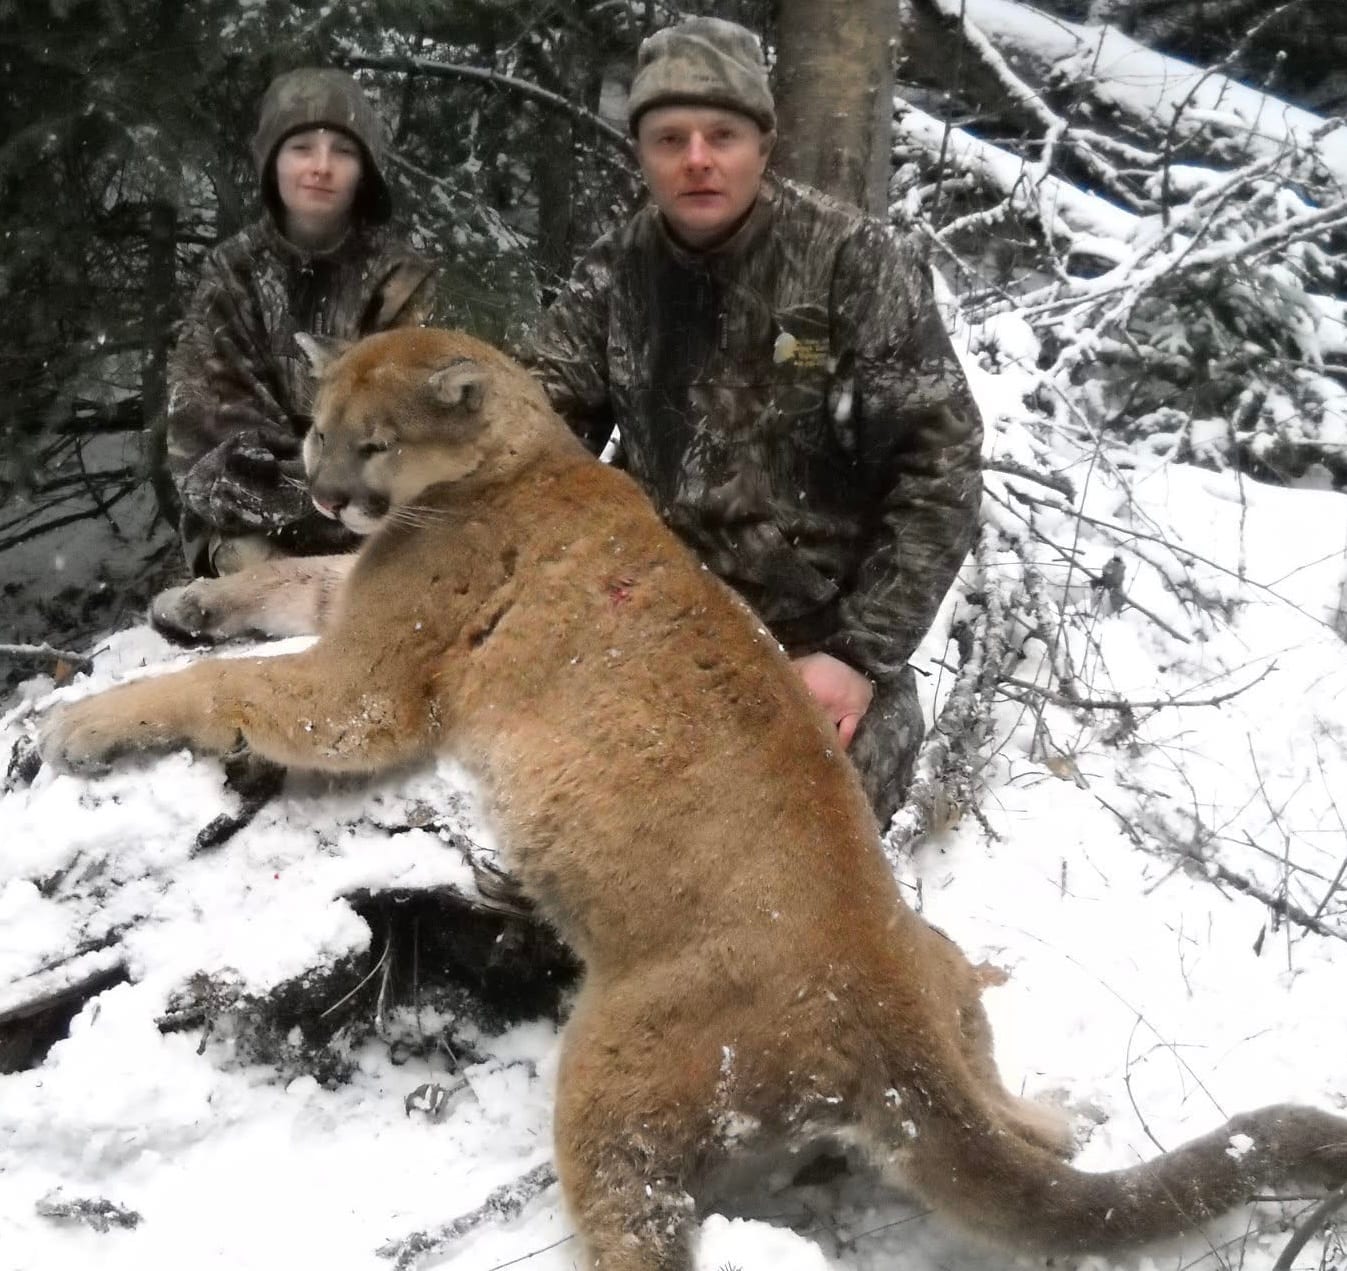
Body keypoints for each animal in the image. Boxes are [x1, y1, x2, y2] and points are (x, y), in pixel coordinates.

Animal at [40, 327, 1347, 1270]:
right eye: (316, 426)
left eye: (372, 440)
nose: (317, 480)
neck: (521, 457)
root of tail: (882, 1001)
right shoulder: (357, 594)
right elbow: (291, 581)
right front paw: (193, 602)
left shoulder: (370, 685)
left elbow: (236, 684)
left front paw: (83, 724)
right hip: (939, 965)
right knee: (1012, 1109)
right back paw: (1054, 1110)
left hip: (614, 1073)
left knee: (642, 1239)